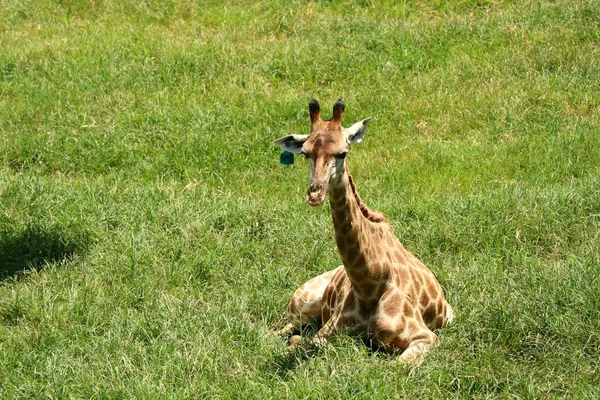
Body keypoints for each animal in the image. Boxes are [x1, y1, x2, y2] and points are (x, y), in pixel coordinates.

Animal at [274, 100, 452, 362]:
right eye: (305, 153)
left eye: (343, 153)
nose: (315, 194)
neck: (369, 283)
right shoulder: (327, 331)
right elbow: (306, 342)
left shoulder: (425, 337)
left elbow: (396, 365)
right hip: (302, 301)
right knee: (283, 328)